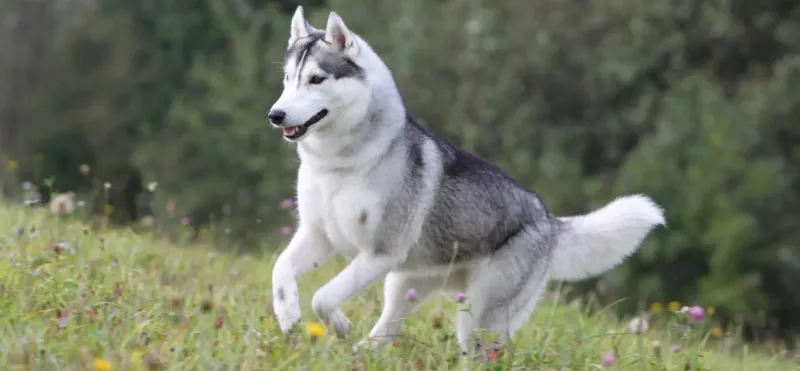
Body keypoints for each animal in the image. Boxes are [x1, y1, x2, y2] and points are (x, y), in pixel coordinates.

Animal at [266, 6, 664, 358]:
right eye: (287, 79)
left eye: (317, 79)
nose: (275, 115)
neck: (339, 165)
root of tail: (548, 220)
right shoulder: (318, 235)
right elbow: (279, 270)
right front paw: (288, 318)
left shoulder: (381, 252)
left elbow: (323, 296)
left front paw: (338, 324)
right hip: (405, 284)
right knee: (388, 328)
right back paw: (361, 354)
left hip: (477, 317)